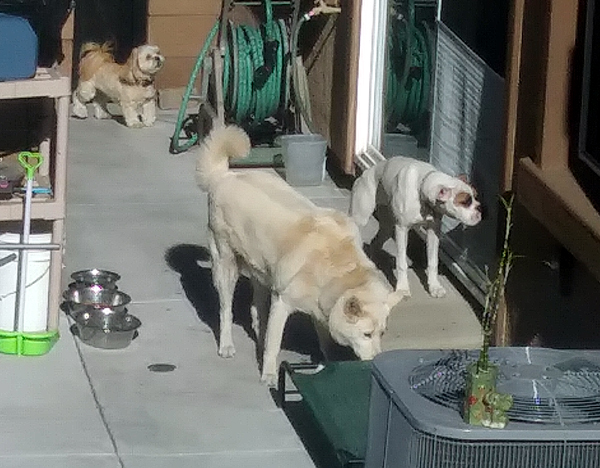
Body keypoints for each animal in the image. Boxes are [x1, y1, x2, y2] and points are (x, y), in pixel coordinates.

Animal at [197, 124, 404, 384]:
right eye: (366, 334)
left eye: (382, 333)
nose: (376, 361)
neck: (338, 268)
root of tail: (225, 176)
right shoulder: (282, 302)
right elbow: (274, 345)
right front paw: (269, 374)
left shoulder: (321, 311)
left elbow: (324, 343)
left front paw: (327, 367)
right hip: (226, 265)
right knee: (226, 310)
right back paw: (226, 345)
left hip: (261, 271)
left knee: (257, 311)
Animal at [352, 156, 482, 296]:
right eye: (465, 202)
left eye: (475, 196)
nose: (480, 209)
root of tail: (368, 171)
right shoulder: (402, 229)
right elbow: (402, 263)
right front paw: (402, 288)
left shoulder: (433, 232)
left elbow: (433, 262)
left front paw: (434, 286)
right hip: (360, 219)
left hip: (387, 226)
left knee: (376, 241)